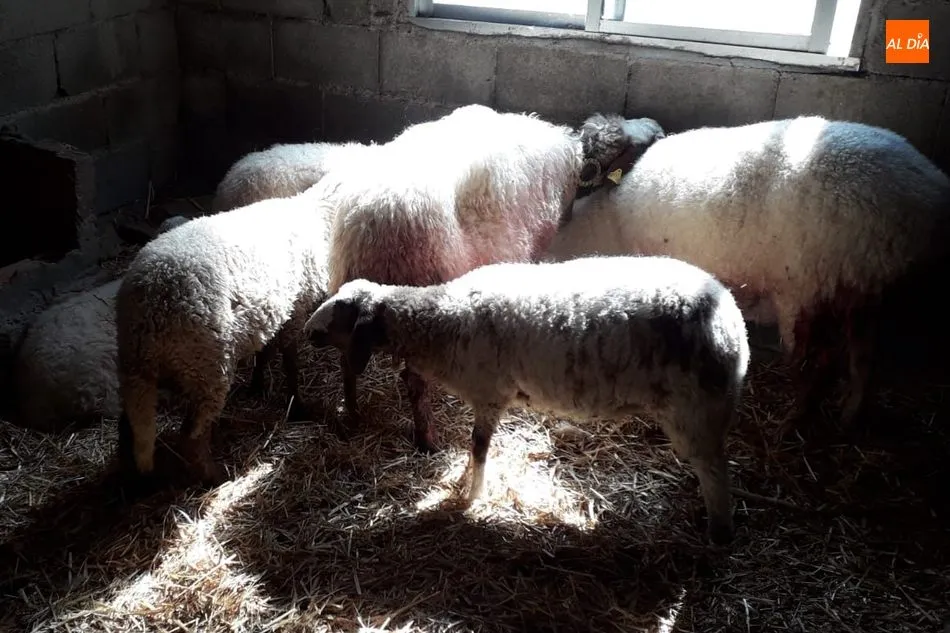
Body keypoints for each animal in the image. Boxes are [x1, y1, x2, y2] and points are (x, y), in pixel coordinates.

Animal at [114, 190, 337, 488]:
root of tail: (147, 309)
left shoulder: (271, 315)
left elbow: (264, 353)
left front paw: (256, 385)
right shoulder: (294, 310)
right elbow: (290, 361)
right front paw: (297, 405)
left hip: (142, 370)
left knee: (128, 427)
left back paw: (133, 481)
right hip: (208, 366)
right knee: (191, 436)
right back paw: (215, 476)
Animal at [303, 255, 750, 545]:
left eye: (342, 309)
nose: (308, 331)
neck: (442, 321)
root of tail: (730, 320)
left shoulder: (489, 394)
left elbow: (478, 447)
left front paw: (472, 495)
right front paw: (465, 484)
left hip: (697, 410)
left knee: (716, 473)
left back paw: (719, 533)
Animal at [312, 103, 666, 454]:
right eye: (630, 144)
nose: (659, 128)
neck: (575, 160)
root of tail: (369, 221)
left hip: (348, 294)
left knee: (346, 361)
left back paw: (351, 417)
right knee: (413, 381)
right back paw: (427, 440)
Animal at [543, 115, 950, 432]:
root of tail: (929, 195)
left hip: (808, 284)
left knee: (815, 362)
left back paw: (794, 422)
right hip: (860, 287)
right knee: (863, 357)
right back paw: (849, 416)